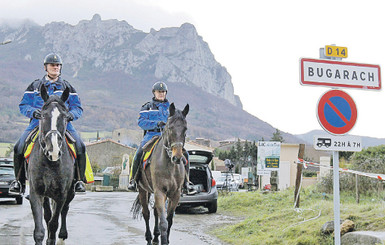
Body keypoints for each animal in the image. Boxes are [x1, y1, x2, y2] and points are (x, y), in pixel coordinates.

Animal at [28, 84, 76, 245]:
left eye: (66, 117)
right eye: (43, 115)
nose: (53, 151)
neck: (50, 164)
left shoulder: (61, 194)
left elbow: (54, 223)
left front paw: (52, 238)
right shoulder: (36, 193)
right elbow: (40, 229)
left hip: (69, 192)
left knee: (64, 211)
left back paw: (62, 235)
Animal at [132, 102, 189, 244]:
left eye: (185, 129)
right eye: (170, 128)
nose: (177, 157)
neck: (170, 166)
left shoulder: (175, 194)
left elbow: (169, 220)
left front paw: (165, 239)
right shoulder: (160, 192)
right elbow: (163, 222)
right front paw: (163, 240)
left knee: (155, 213)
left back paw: (156, 236)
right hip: (143, 190)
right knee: (146, 213)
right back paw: (149, 238)